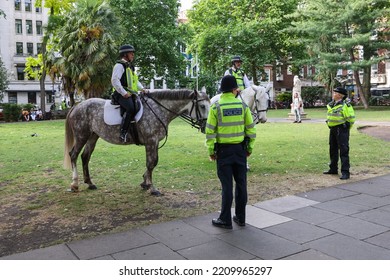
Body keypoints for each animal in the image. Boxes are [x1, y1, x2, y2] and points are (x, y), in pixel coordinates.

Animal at [64, 89, 210, 195]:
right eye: (202, 106)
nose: (205, 127)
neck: (158, 110)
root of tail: (77, 106)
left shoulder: (154, 142)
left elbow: (153, 162)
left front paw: (145, 182)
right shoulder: (151, 141)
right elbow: (151, 163)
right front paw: (152, 187)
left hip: (93, 136)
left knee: (85, 156)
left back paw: (89, 183)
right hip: (81, 136)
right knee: (74, 155)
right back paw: (74, 184)